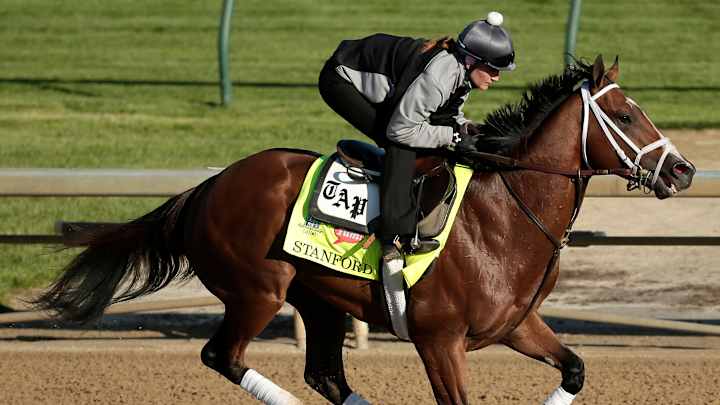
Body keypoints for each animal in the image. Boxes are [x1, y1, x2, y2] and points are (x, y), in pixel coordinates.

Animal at [33, 55, 695, 405]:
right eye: (625, 115)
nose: (683, 170)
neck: (504, 216)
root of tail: (206, 188)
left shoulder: (516, 324)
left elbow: (575, 368)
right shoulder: (439, 340)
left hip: (319, 299)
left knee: (324, 373)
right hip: (257, 291)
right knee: (223, 355)